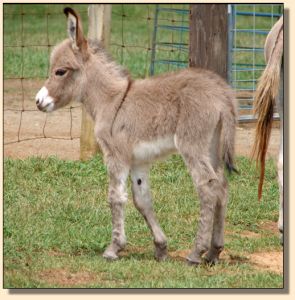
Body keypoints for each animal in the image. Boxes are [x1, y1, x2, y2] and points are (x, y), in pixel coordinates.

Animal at [35, 7, 238, 264]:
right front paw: (160, 247)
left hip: (192, 145)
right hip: (212, 145)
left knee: (207, 187)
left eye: (60, 71)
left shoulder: (115, 156)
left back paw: (196, 253)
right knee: (222, 186)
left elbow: (115, 197)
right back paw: (214, 251)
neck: (111, 100)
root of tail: (223, 95)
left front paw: (114, 248)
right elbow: (142, 200)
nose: (38, 101)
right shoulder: (139, 161)